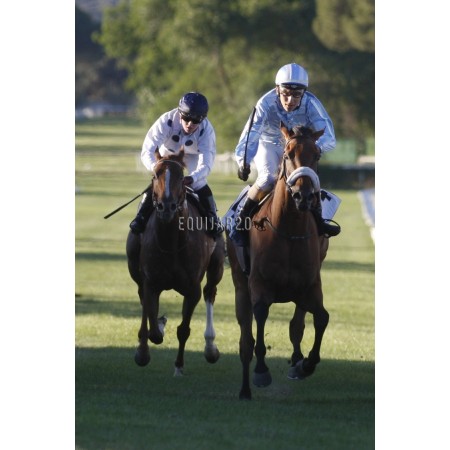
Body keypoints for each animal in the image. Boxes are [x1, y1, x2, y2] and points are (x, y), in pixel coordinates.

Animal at [126, 150, 225, 375]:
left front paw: (179, 365)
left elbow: (183, 329)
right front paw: (145, 347)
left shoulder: (192, 289)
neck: (171, 243)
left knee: (210, 292)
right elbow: (153, 329)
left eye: (181, 176)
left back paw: (210, 348)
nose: (167, 206)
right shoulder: (151, 283)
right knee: (142, 298)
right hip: (134, 270)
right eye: (155, 175)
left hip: (217, 268)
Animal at [226, 124, 330, 400]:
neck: (289, 230)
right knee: (245, 340)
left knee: (297, 325)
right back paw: (244, 390)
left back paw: (296, 362)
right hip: (240, 287)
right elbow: (260, 319)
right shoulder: (259, 285)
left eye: (317, 154)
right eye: (287, 153)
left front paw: (305, 364)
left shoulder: (310, 286)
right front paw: (261, 371)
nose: (303, 195)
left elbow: (321, 318)